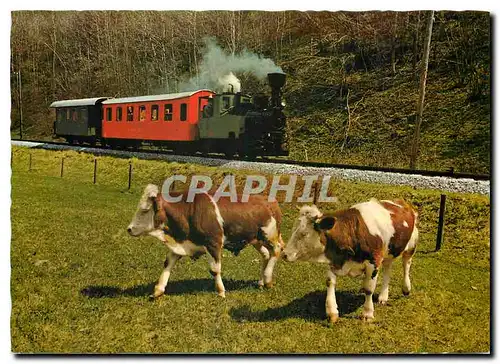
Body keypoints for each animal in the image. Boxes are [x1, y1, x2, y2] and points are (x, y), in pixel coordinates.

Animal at [127, 185, 284, 298]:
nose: (129, 229)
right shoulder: (181, 244)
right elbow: (168, 264)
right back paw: (261, 281)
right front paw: (158, 290)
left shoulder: (213, 243)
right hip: (256, 239)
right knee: (266, 254)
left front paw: (221, 291)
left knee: (276, 250)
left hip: (269, 235)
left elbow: (214, 270)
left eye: (144, 210)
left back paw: (268, 279)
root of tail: (268, 199)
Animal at [282, 199, 418, 322]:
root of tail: (403, 203)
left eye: (304, 233)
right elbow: (329, 282)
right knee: (387, 269)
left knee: (406, 265)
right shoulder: (334, 260)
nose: (284, 254)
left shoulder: (374, 262)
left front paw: (367, 313)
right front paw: (332, 312)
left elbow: (369, 289)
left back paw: (406, 288)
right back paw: (383, 297)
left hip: (411, 245)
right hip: (388, 252)